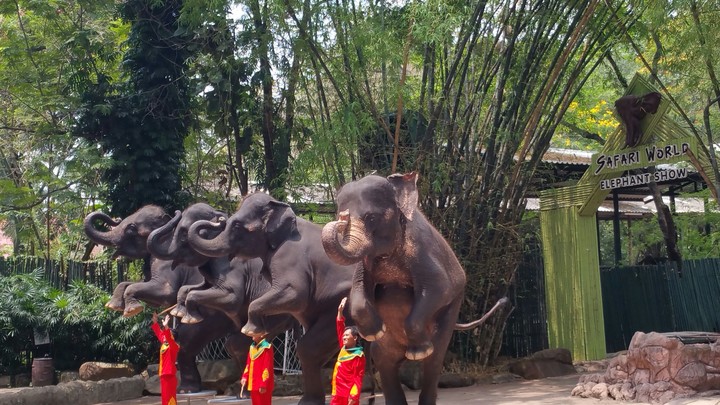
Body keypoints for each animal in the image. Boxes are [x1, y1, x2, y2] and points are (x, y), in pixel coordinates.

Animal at [83, 206, 249, 393]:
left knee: (188, 339)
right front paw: (114, 305)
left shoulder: (168, 265)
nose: (112, 218)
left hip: (215, 313)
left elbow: (165, 292)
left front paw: (131, 309)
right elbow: (139, 288)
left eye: (131, 228)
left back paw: (187, 390)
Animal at [186, 193, 355, 405]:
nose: (219, 219)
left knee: (308, 348)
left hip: (339, 306)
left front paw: (250, 329)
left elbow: (294, 293)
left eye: (237, 225)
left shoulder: (289, 257)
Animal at [321, 172, 505, 405]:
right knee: (385, 360)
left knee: (434, 359)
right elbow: (358, 291)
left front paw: (417, 352)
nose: (340, 219)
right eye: (340, 213)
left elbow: (439, 287)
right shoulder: (365, 264)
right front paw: (373, 331)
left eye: (371, 217)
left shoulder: (421, 250)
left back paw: (420, 354)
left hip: (451, 311)